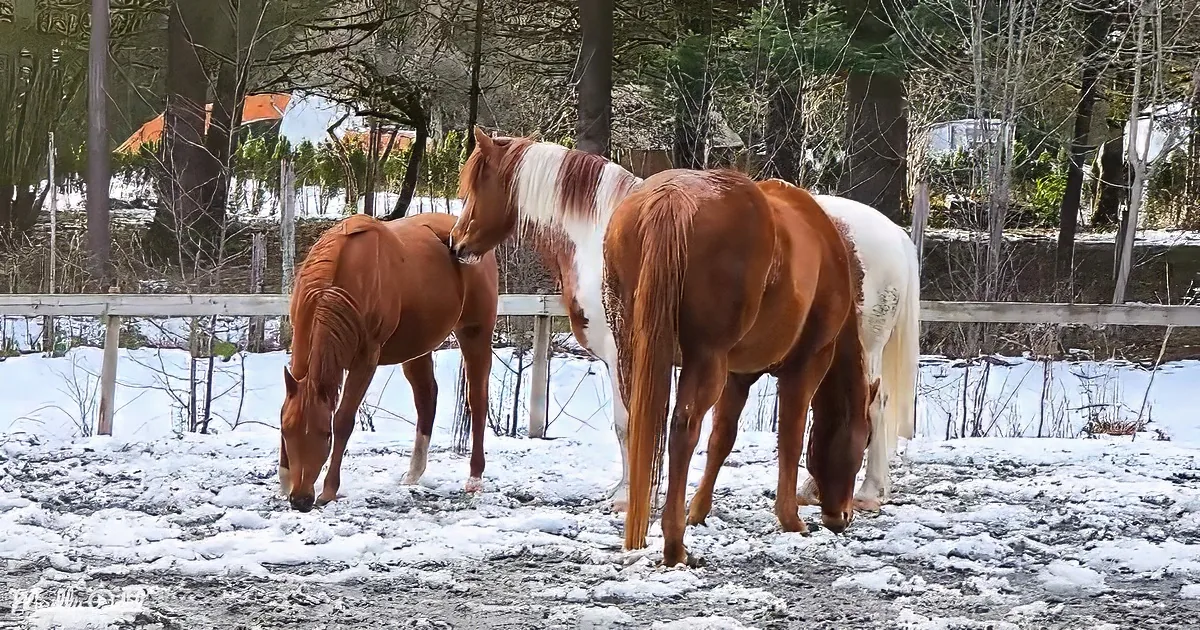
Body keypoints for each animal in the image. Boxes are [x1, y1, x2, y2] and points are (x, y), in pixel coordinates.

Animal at [279, 212, 498, 512]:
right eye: (287, 432)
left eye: (325, 435)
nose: (300, 500)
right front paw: (283, 481)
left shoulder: (365, 360)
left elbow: (344, 420)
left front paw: (329, 490)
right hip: (418, 346)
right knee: (426, 398)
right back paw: (413, 473)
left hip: (475, 333)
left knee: (477, 399)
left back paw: (475, 478)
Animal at [448, 127, 919, 514]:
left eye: (476, 185)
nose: (456, 244)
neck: (604, 236)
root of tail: (894, 234)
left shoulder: (623, 352)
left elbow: (627, 423)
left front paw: (627, 496)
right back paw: (831, 489)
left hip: (860, 348)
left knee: (871, 405)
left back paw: (864, 492)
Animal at [603, 169, 874, 567]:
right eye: (864, 439)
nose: (841, 516)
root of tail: (672, 198)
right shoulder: (806, 366)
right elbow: (790, 438)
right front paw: (791, 519)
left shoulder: (737, 375)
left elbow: (722, 439)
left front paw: (698, 511)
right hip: (705, 358)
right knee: (684, 431)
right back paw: (674, 546)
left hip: (635, 353)